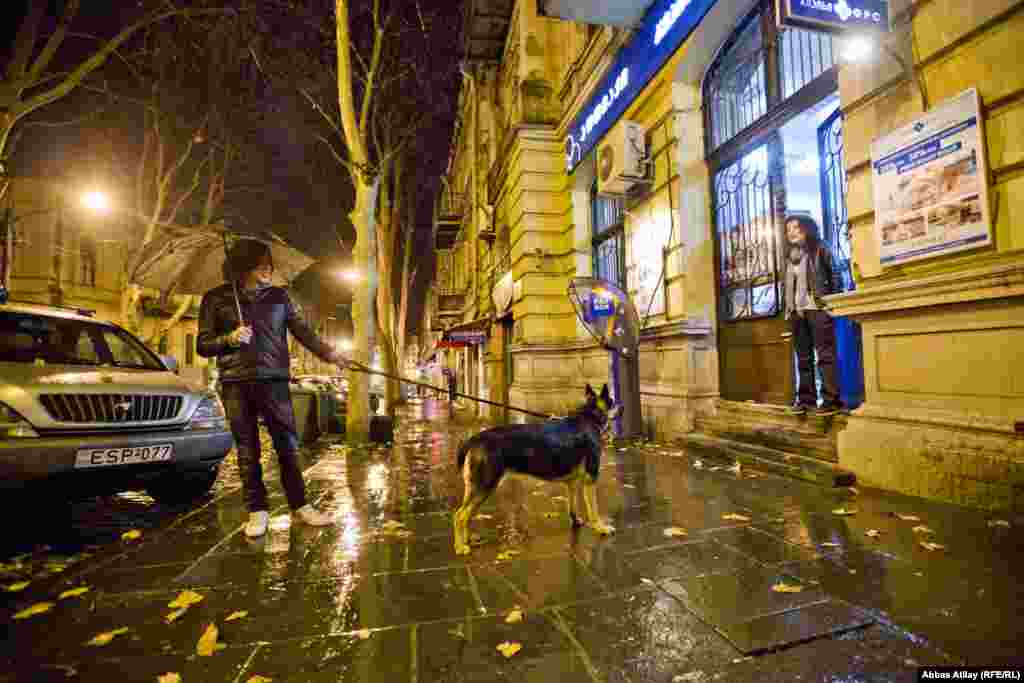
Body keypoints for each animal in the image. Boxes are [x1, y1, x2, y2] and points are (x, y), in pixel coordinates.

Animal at [454, 385, 614, 557]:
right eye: (612, 401)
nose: (622, 407)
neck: (588, 418)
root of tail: (475, 439)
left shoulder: (571, 483)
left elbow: (573, 507)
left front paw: (576, 521)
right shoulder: (591, 479)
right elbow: (594, 511)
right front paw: (601, 528)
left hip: (475, 487)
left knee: (465, 514)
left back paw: (467, 539)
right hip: (485, 486)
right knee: (459, 516)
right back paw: (460, 547)